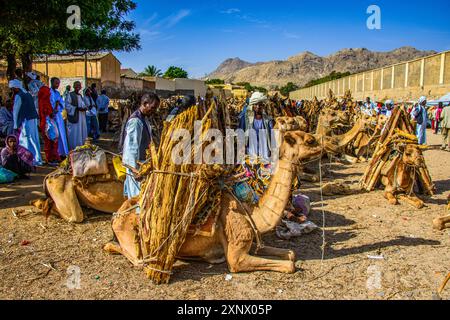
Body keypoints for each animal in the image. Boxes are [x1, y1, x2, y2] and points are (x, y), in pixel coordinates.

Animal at [103, 130, 326, 272]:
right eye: (309, 140)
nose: (325, 146)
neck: (252, 213)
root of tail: (117, 215)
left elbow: (291, 254)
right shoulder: (236, 257)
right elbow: (289, 265)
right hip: (130, 234)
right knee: (135, 258)